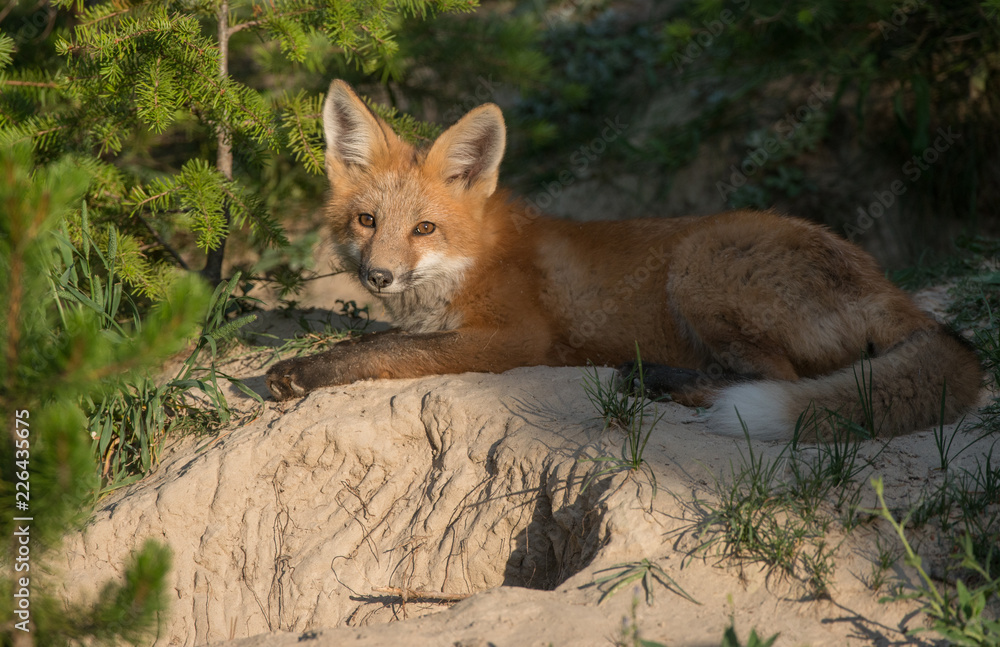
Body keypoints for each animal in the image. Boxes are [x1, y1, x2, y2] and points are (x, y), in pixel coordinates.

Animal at [265, 79, 984, 441]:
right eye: (367, 221)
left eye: (424, 228)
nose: (378, 274)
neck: (469, 264)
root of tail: (895, 292)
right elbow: (376, 339)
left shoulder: (513, 338)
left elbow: (382, 351)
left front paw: (305, 371)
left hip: (699, 266)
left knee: (772, 379)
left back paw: (656, 380)